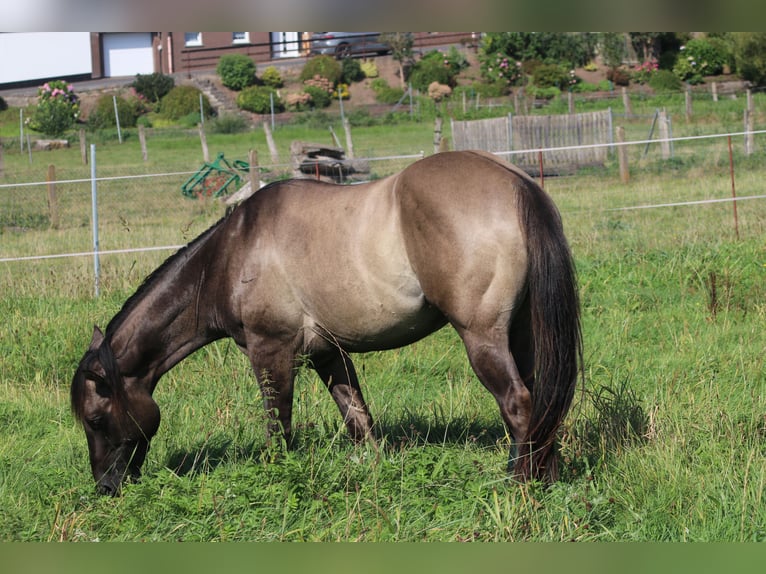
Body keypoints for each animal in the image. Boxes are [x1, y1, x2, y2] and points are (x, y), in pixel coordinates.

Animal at [73, 151, 584, 498]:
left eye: (96, 419)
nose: (106, 488)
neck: (232, 254)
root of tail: (517, 186)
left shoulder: (271, 352)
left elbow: (278, 426)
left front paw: (276, 478)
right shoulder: (328, 353)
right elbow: (358, 419)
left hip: (483, 338)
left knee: (519, 403)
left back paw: (520, 486)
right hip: (523, 335)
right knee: (542, 402)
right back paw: (548, 479)